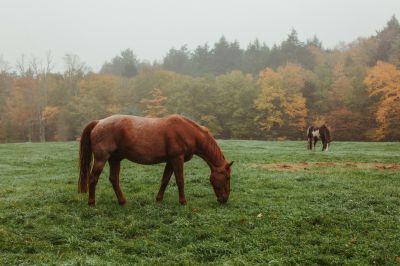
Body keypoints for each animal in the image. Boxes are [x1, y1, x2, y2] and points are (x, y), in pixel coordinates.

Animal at [78, 114, 233, 206]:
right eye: (227, 177)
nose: (224, 199)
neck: (189, 132)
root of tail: (98, 122)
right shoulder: (177, 159)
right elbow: (180, 180)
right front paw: (183, 201)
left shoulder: (170, 161)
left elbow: (165, 180)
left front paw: (159, 199)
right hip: (101, 159)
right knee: (93, 178)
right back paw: (91, 203)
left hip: (115, 159)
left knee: (114, 179)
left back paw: (122, 201)